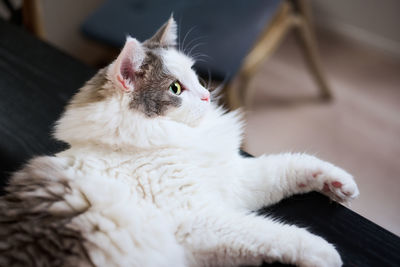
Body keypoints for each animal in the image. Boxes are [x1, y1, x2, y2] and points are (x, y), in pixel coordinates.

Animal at [0, 17, 360, 267]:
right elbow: (274, 232)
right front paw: (326, 253)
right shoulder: (200, 220)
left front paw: (339, 183)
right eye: (175, 88)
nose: (206, 95)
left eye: (195, 74)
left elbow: (288, 166)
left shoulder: (232, 180)